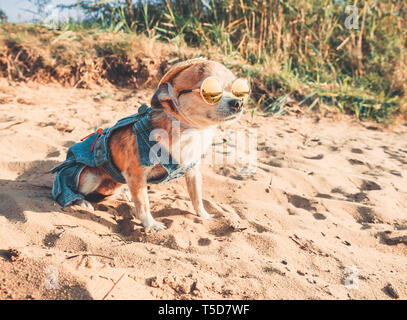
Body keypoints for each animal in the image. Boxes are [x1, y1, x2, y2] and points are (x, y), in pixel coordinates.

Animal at [72, 58, 249, 230]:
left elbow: (196, 196)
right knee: (73, 191)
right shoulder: (136, 174)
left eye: (238, 90)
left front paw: (204, 215)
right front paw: (151, 224)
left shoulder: (192, 169)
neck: (188, 131)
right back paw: (82, 202)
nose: (238, 102)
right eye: (211, 92)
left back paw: (125, 193)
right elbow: (143, 204)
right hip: (90, 177)